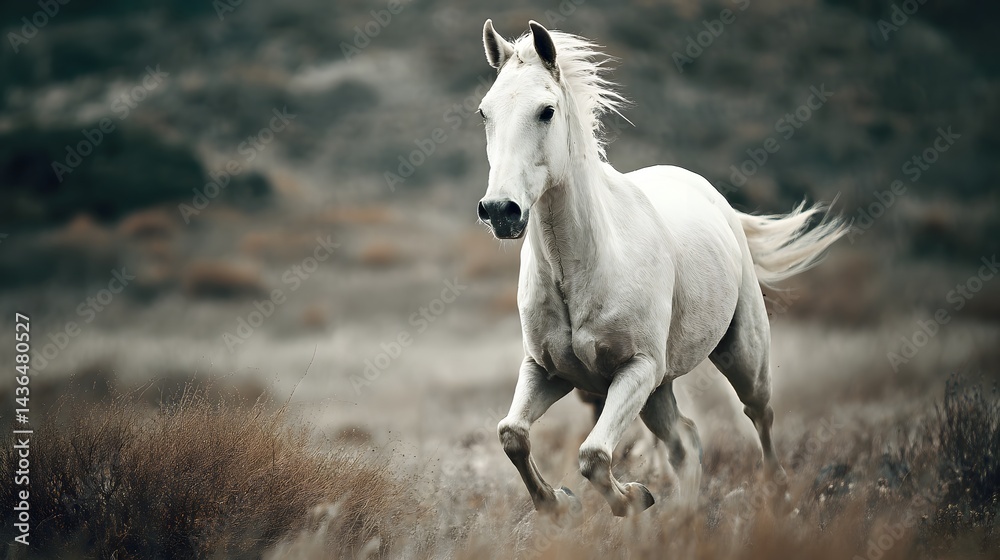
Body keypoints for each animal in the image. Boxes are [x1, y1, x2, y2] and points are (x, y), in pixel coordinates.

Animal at [475, 19, 847, 517]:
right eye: (484, 113)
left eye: (546, 111)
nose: (501, 211)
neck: (584, 269)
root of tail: (708, 191)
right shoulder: (547, 371)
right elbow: (512, 435)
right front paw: (559, 504)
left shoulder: (637, 369)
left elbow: (593, 455)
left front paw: (632, 498)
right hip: (658, 391)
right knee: (685, 442)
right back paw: (685, 519)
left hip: (739, 356)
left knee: (759, 415)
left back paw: (776, 496)